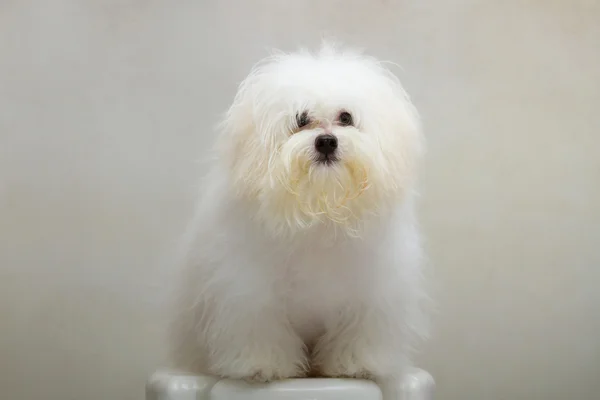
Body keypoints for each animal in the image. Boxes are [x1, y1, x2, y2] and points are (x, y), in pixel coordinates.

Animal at [171, 41, 428, 390]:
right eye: (302, 119)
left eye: (346, 117)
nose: (326, 141)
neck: (318, 210)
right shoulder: (248, 291)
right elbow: (261, 327)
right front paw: (263, 366)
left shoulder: (372, 294)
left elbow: (359, 330)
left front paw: (355, 365)